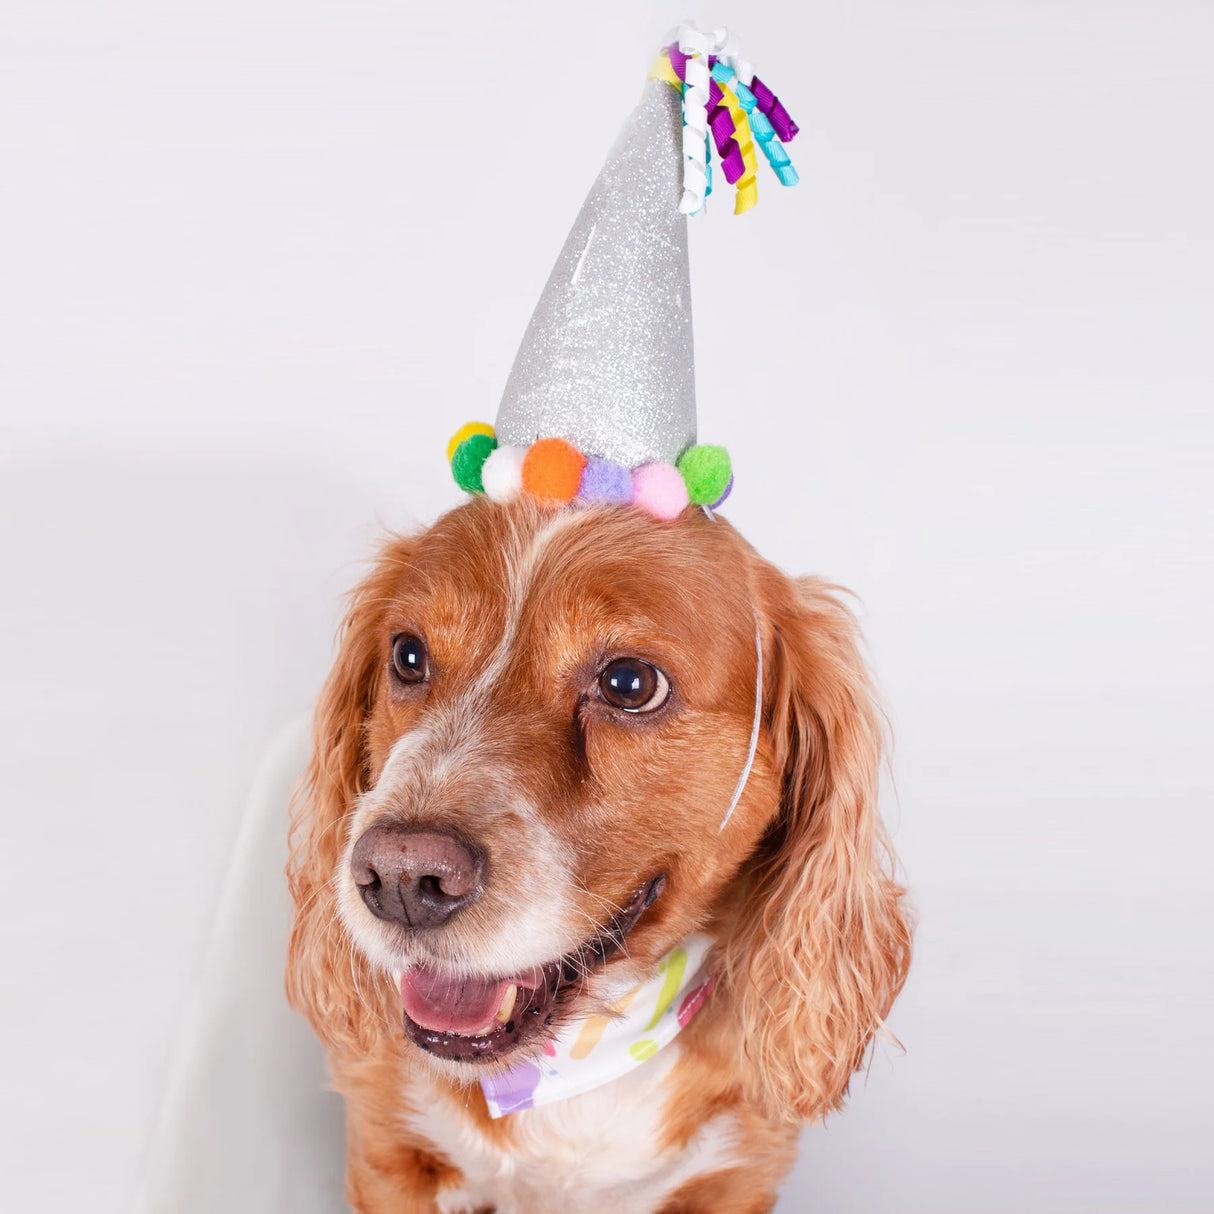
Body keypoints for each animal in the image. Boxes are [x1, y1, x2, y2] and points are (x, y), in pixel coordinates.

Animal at [286, 495, 912, 1214]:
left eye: (630, 683)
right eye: (408, 656)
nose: (400, 875)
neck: (580, 1057)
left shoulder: (736, 1179)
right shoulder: (388, 1154)